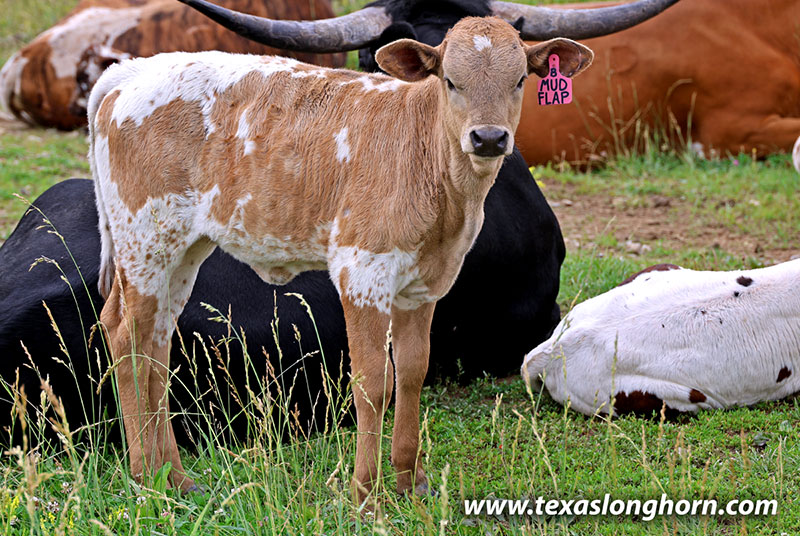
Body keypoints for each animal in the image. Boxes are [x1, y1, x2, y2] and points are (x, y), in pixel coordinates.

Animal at [85, 14, 602, 501]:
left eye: (519, 80)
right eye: (450, 81)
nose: (489, 138)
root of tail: (133, 71)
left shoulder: (424, 284)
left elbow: (412, 371)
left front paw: (410, 483)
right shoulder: (363, 271)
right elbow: (373, 382)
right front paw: (366, 494)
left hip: (182, 249)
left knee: (155, 344)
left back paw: (174, 477)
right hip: (145, 238)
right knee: (125, 337)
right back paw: (144, 477)